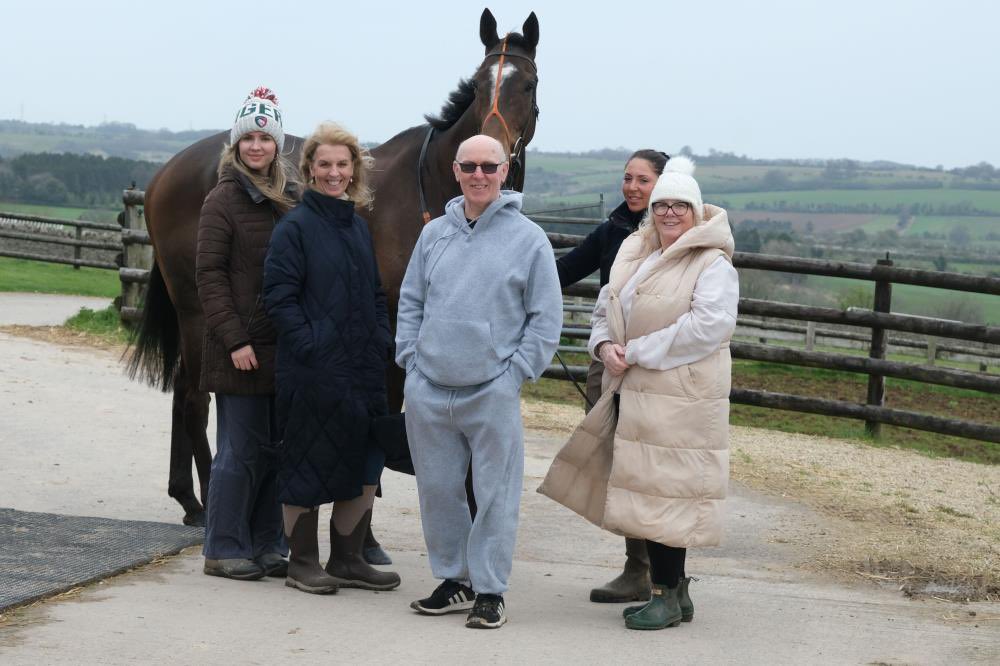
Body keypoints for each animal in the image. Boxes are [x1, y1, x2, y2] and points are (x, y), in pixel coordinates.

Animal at [132, 7, 544, 520]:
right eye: (479, 82)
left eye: (527, 83)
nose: (489, 152)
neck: (434, 191)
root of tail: (164, 173)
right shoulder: (393, 332)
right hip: (196, 308)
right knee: (193, 398)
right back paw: (209, 502)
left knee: (184, 386)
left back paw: (187, 498)